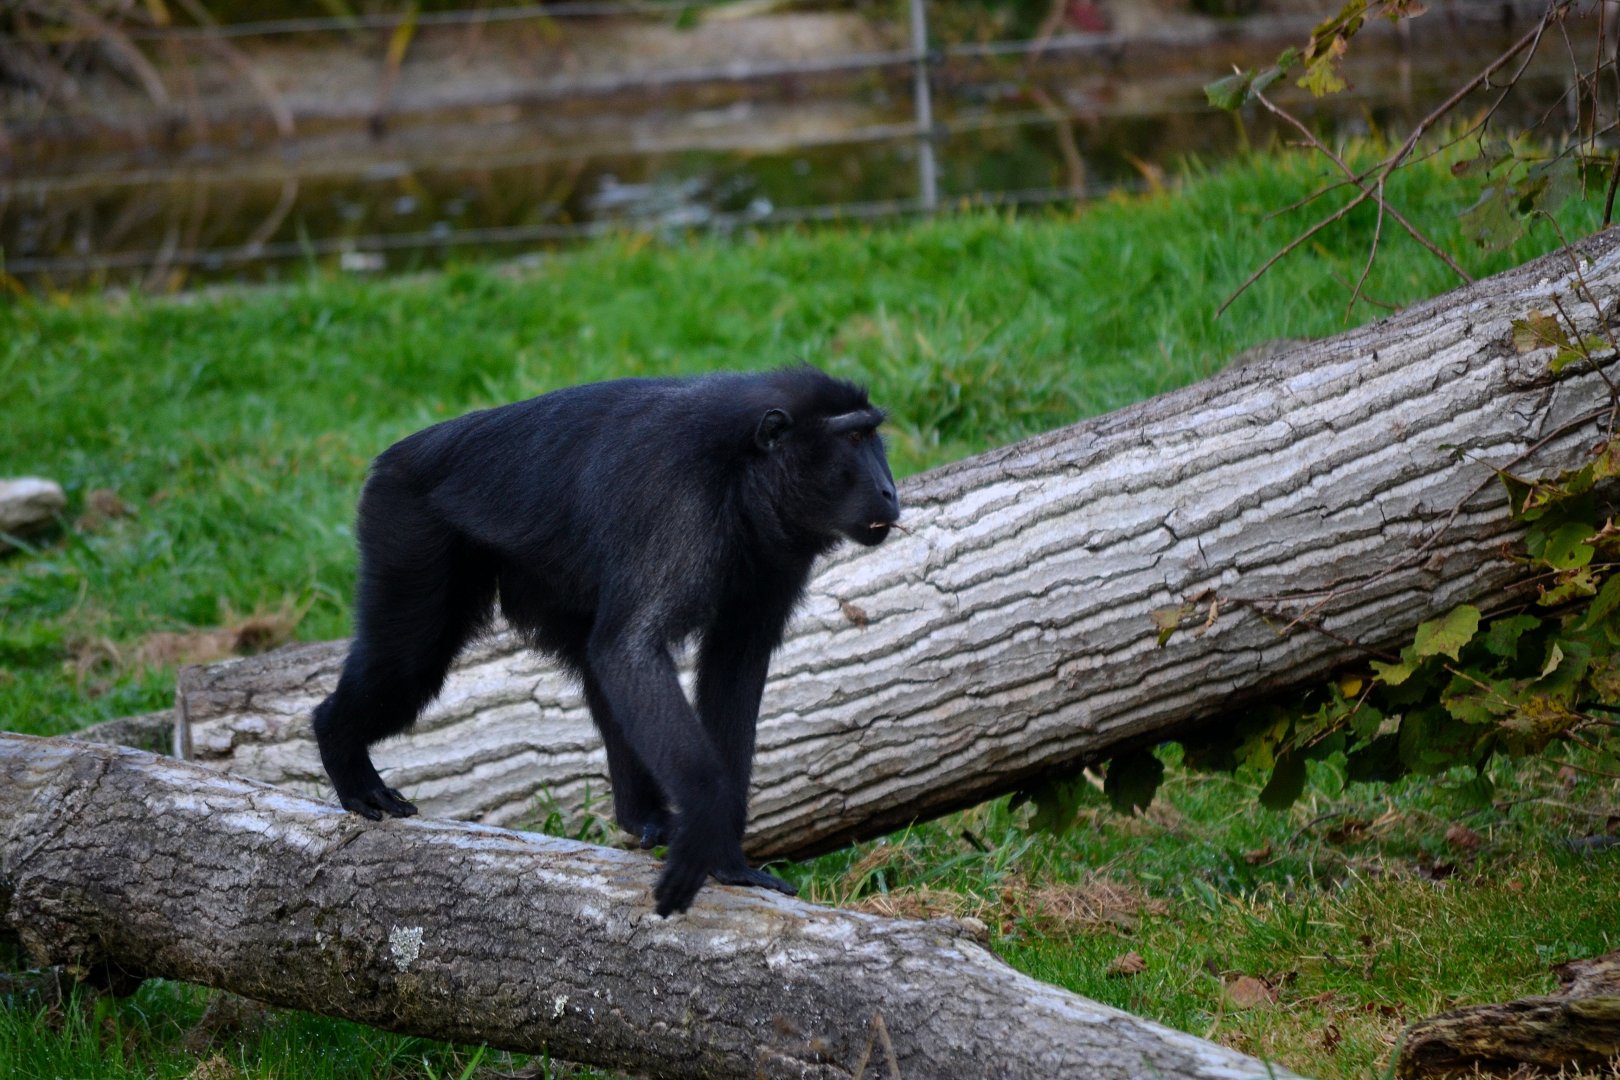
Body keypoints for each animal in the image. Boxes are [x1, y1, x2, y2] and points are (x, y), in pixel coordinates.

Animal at [312, 365, 899, 916]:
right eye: (852, 439)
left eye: (874, 435)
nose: (891, 492)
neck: (741, 471)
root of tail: (409, 451)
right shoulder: (677, 501)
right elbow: (630, 650)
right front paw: (705, 818)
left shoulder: (778, 554)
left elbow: (730, 663)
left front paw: (727, 861)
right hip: (405, 521)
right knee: (410, 662)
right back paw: (340, 749)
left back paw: (639, 815)